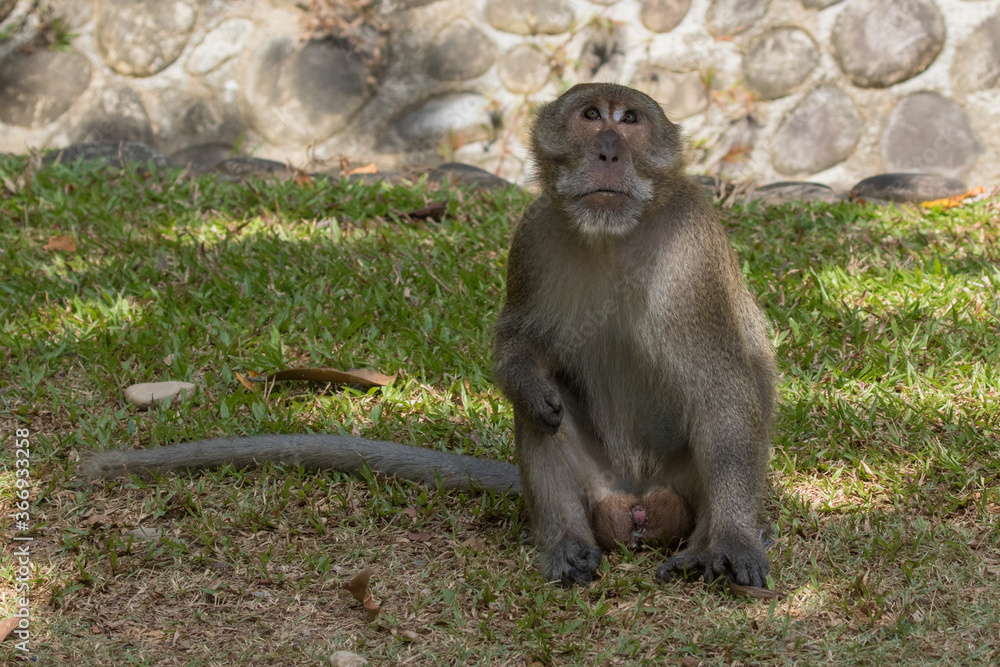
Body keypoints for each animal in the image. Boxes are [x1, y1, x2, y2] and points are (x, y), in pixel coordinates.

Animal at [81, 82, 775, 589]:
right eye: (590, 116)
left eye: (630, 120)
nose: (608, 148)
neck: (614, 234)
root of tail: (635, 505)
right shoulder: (533, 237)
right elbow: (520, 346)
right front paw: (526, 378)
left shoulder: (691, 252)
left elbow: (724, 387)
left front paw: (732, 541)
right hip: (595, 486)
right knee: (542, 418)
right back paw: (564, 543)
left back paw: (708, 543)